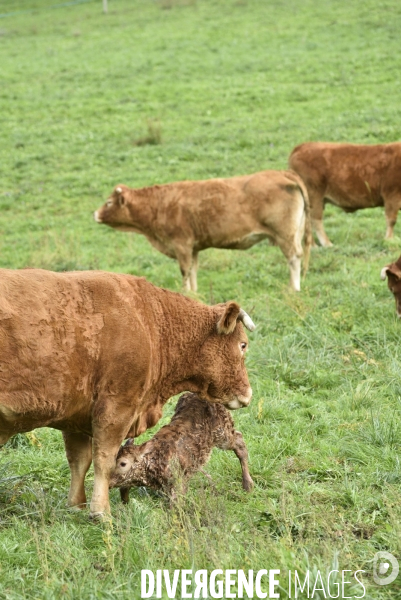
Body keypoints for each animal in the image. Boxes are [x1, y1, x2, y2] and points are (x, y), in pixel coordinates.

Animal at [94, 169, 312, 292]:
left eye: (109, 202)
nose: (95, 213)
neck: (161, 204)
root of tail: (283, 173)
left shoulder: (181, 245)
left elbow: (184, 270)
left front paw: (185, 291)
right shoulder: (194, 247)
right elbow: (193, 270)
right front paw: (194, 291)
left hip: (285, 235)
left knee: (294, 257)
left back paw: (294, 288)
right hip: (296, 232)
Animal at [108, 392, 253, 500]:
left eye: (123, 463)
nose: (107, 482)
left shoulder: (178, 481)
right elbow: (124, 491)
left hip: (222, 431)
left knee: (239, 440)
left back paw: (248, 485)